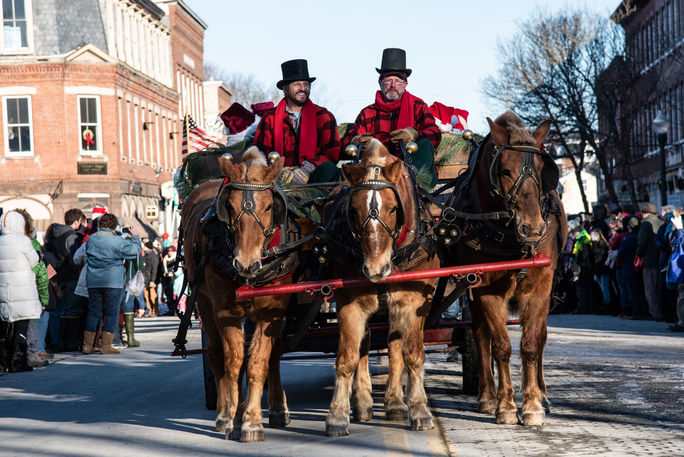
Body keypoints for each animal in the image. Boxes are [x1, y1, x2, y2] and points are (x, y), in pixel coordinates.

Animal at [182, 148, 296, 440]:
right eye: (230, 208)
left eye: (269, 207)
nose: (245, 264)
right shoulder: (226, 311)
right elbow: (234, 363)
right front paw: (233, 418)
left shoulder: (272, 311)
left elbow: (258, 362)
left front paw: (252, 421)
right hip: (203, 303)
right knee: (216, 354)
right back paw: (225, 413)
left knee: (272, 355)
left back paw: (276, 408)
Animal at [324, 138, 438, 434]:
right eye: (353, 211)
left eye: (393, 209)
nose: (375, 269)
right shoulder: (349, 304)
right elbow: (347, 358)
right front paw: (337, 414)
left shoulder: (414, 303)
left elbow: (412, 355)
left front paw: (419, 409)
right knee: (364, 346)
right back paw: (364, 403)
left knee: (394, 349)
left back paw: (395, 403)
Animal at [438, 109, 568, 424]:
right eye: (505, 170)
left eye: (541, 169)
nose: (533, 228)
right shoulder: (485, 289)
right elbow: (500, 346)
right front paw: (506, 405)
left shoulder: (541, 286)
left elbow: (532, 344)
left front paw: (532, 405)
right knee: (480, 336)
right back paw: (487, 396)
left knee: (540, 337)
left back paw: (543, 395)